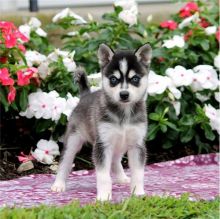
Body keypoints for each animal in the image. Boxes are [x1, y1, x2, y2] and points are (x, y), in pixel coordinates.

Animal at [51, 43, 152, 201]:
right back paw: (59, 184)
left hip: (119, 143)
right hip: (73, 141)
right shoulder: (102, 145)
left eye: (135, 79)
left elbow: (138, 172)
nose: (124, 94)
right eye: (113, 79)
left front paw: (138, 193)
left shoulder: (137, 144)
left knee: (115, 160)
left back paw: (122, 178)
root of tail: (85, 95)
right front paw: (104, 197)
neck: (124, 113)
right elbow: (103, 175)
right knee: (64, 162)